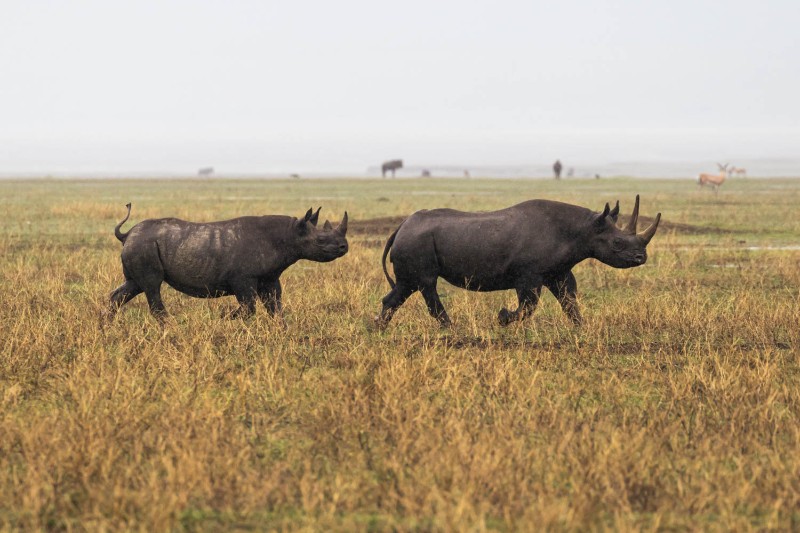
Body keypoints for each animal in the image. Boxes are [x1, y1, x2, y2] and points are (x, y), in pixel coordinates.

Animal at [105, 204, 348, 322]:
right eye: (321, 241)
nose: (344, 247)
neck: (289, 235)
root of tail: (127, 234)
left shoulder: (270, 277)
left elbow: (275, 307)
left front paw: (282, 331)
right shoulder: (243, 278)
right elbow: (249, 308)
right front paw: (226, 319)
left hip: (140, 245)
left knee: (133, 286)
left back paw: (105, 325)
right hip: (143, 246)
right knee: (152, 286)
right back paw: (171, 329)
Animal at [376, 195, 660, 327]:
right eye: (617, 244)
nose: (641, 257)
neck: (585, 229)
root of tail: (401, 227)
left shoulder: (559, 272)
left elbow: (569, 300)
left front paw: (581, 327)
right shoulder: (529, 274)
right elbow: (529, 305)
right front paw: (502, 318)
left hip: (415, 240)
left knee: (406, 287)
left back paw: (379, 327)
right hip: (417, 242)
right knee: (424, 283)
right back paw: (452, 329)